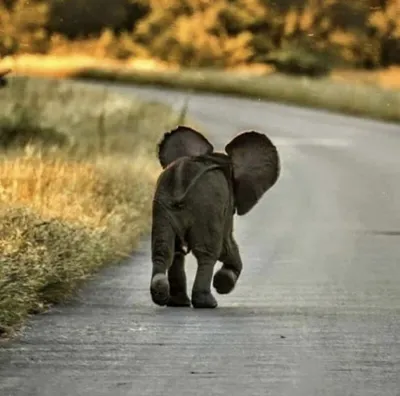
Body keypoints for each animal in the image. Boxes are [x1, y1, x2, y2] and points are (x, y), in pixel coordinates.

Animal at [148, 125, 280, 308]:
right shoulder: (225, 200)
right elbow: (226, 244)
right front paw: (223, 282)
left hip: (163, 207)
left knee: (165, 249)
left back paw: (168, 299)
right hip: (205, 206)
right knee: (207, 253)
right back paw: (207, 303)